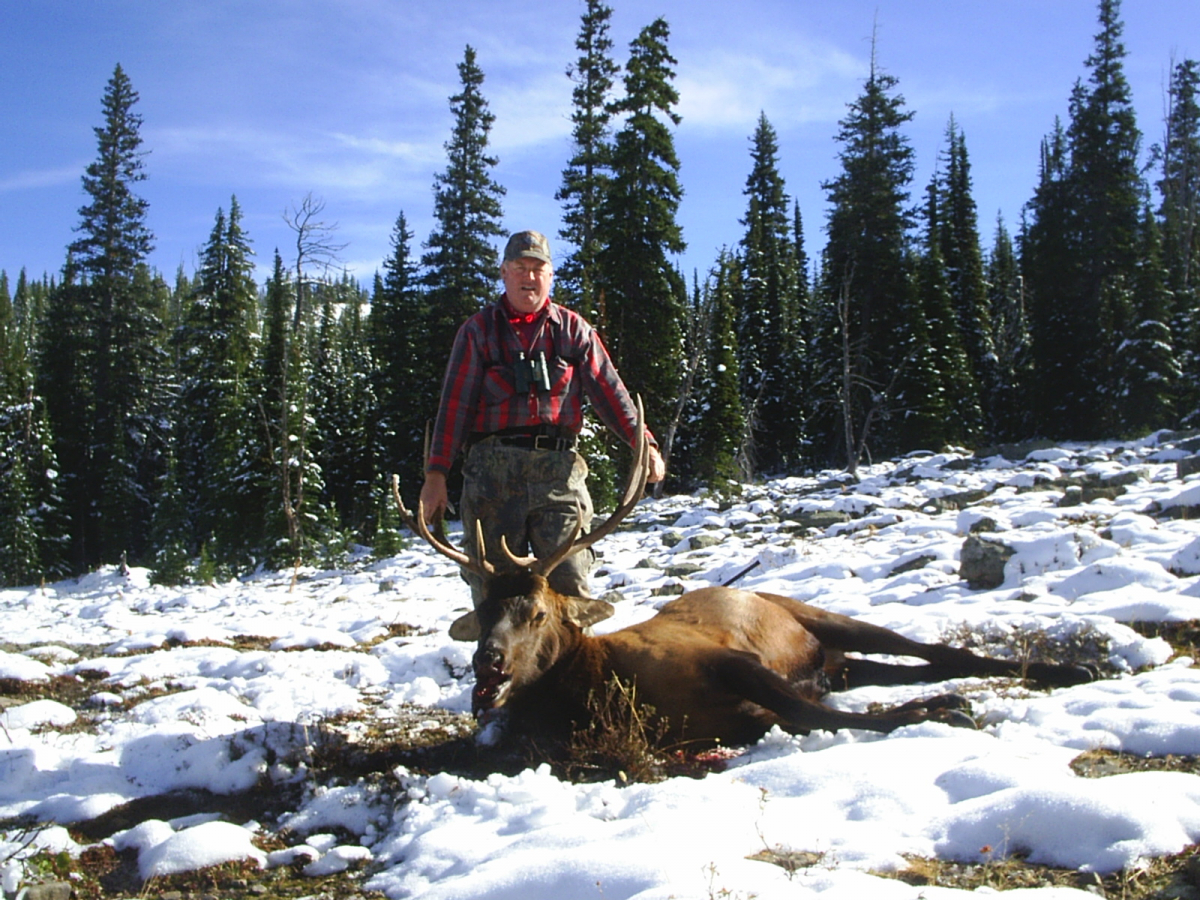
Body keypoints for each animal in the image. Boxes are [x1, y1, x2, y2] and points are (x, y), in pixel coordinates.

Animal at [393, 405, 1099, 748]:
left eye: (538, 613)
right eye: (482, 614)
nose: (488, 663)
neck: (606, 689)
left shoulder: (729, 661)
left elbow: (815, 714)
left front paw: (943, 711)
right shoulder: (738, 719)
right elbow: (809, 715)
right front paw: (936, 708)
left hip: (817, 615)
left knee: (934, 649)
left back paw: (1073, 669)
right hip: (838, 661)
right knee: (895, 667)